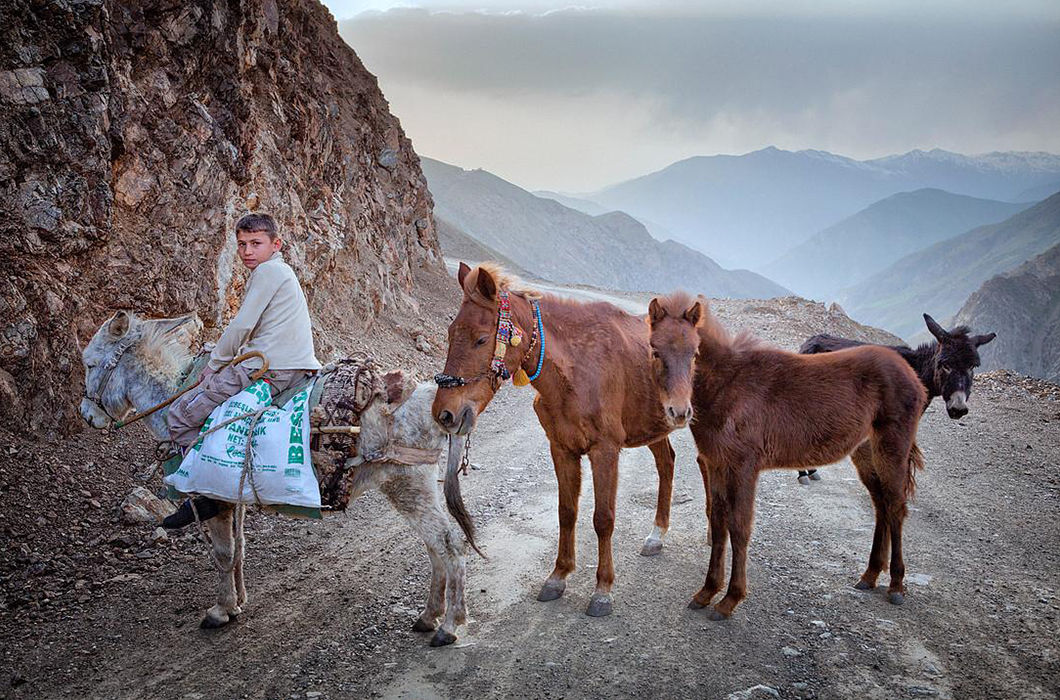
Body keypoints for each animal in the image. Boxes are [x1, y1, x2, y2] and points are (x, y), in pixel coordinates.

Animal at [432, 264, 686, 619]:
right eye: (451, 333)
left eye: (481, 339)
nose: (445, 414)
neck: (577, 371)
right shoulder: (562, 450)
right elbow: (566, 512)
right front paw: (558, 576)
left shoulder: (605, 452)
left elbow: (603, 519)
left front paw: (602, 590)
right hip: (655, 427)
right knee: (666, 463)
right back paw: (656, 536)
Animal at [644, 292, 928, 619]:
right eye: (655, 350)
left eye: (694, 353)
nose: (679, 412)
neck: (729, 387)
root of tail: (912, 376)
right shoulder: (717, 464)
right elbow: (718, 523)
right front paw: (706, 592)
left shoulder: (743, 467)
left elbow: (739, 527)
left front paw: (730, 599)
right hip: (865, 453)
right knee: (880, 505)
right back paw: (869, 575)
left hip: (892, 448)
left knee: (895, 507)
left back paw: (896, 585)